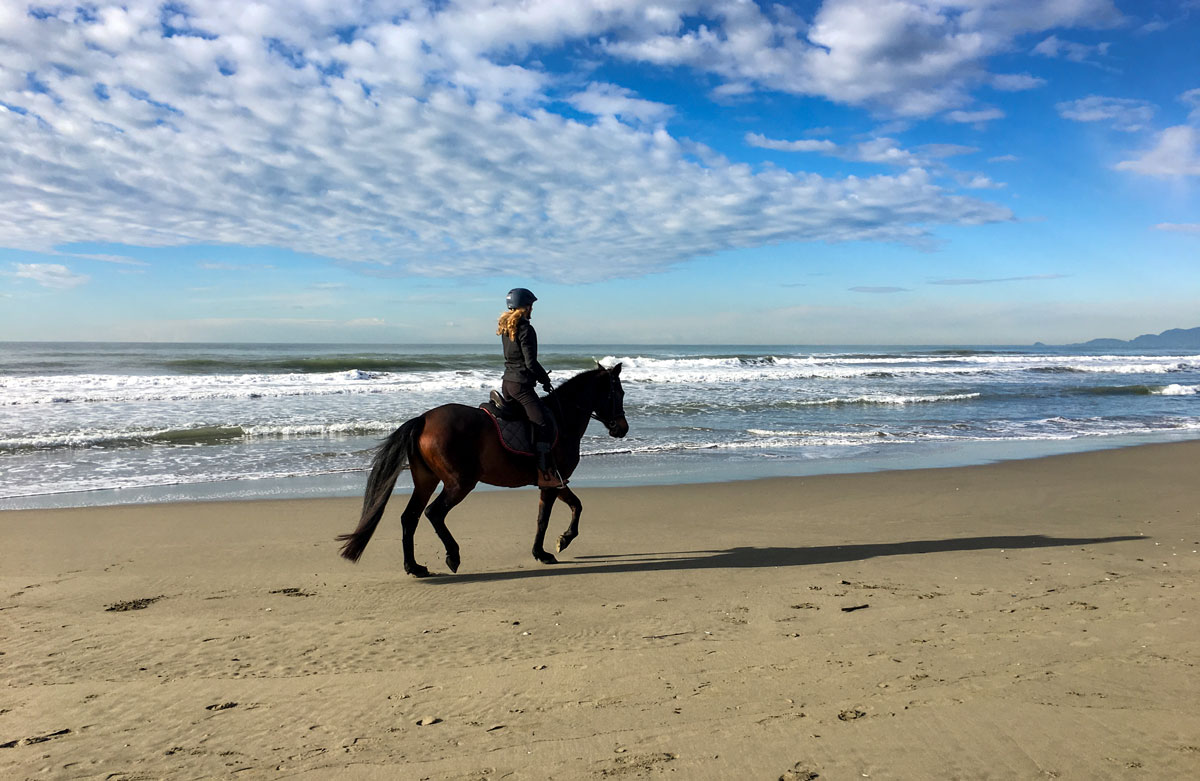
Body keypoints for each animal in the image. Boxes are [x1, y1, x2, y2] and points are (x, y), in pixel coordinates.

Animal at [333, 364, 624, 578]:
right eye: (618, 394)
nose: (622, 428)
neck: (563, 418)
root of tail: (424, 418)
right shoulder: (553, 481)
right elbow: (550, 517)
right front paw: (552, 547)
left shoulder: (554, 482)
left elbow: (571, 507)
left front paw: (555, 544)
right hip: (460, 482)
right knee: (433, 513)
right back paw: (452, 556)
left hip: (426, 481)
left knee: (410, 517)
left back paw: (414, 567)